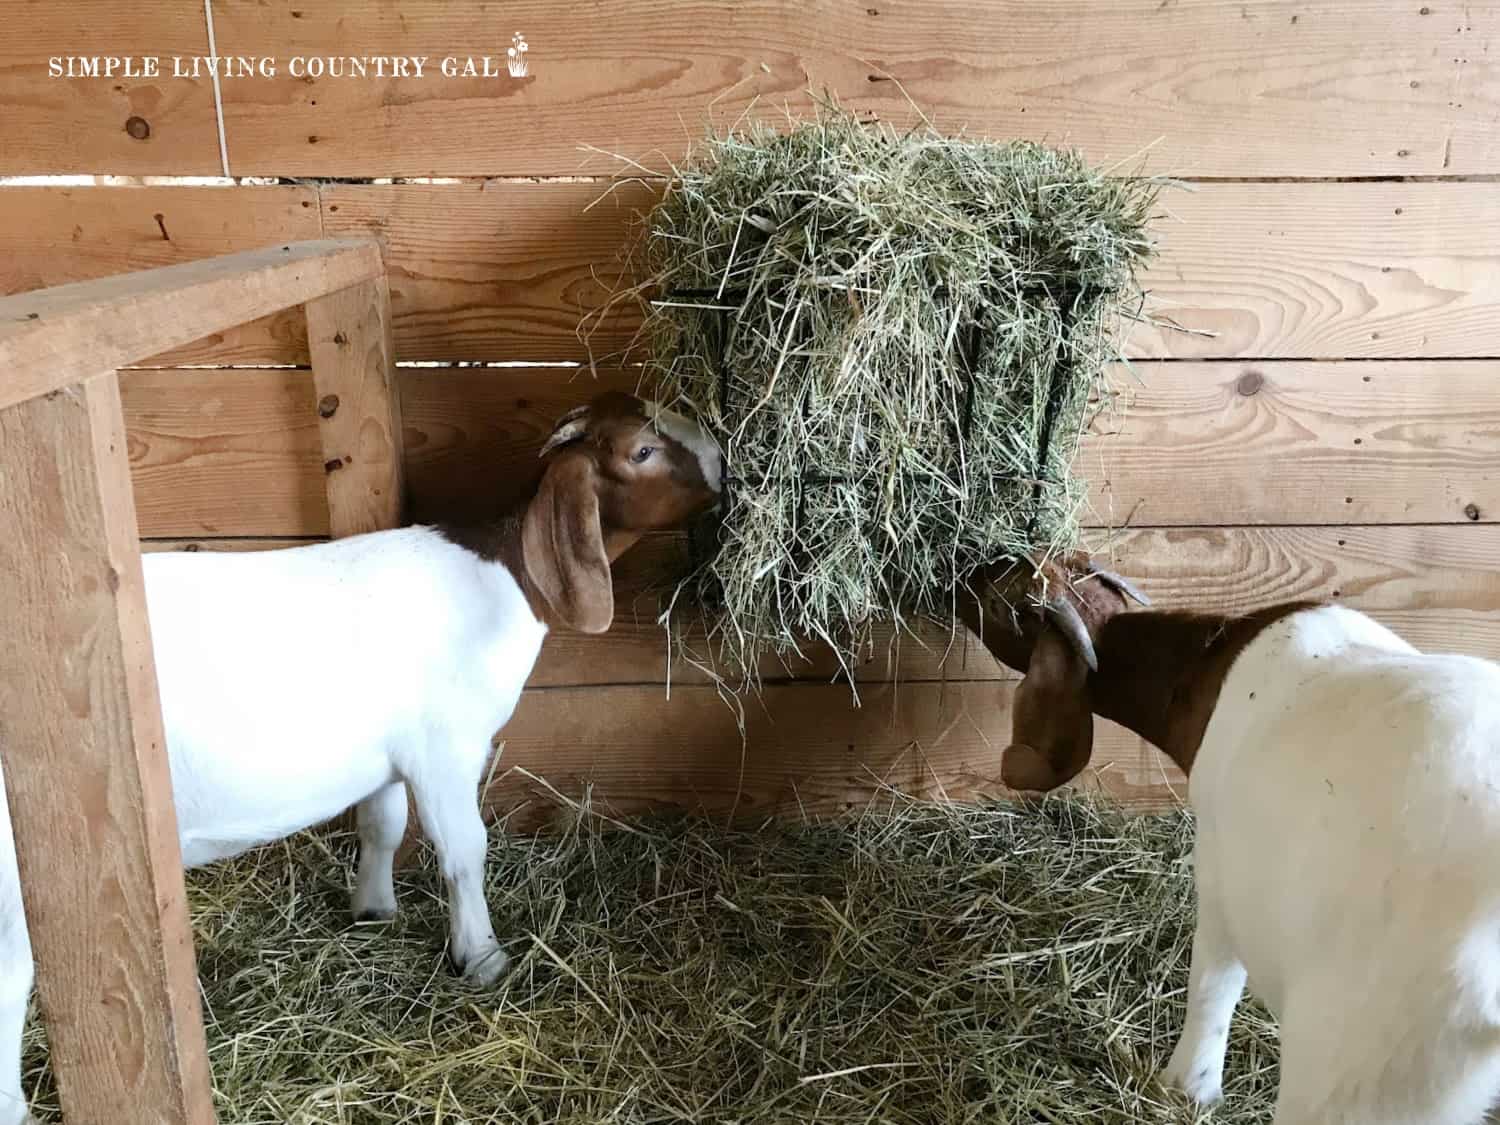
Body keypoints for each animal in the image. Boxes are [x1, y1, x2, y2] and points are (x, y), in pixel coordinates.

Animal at [0, 391, 722, 1125]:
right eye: (640, 451)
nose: (723, 460)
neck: (503, 576)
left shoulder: (388, 756)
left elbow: (382, 826)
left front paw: (374, 910)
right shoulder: (443, 746)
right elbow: (465, 850)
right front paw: (483, 956)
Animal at [961, 554, 1500, 1124]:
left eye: (998, 603)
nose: (960, 577)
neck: (1210, 666)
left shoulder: (1220, 870)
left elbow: (1213, 983)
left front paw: (1188, 1085)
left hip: (1365, 1065)